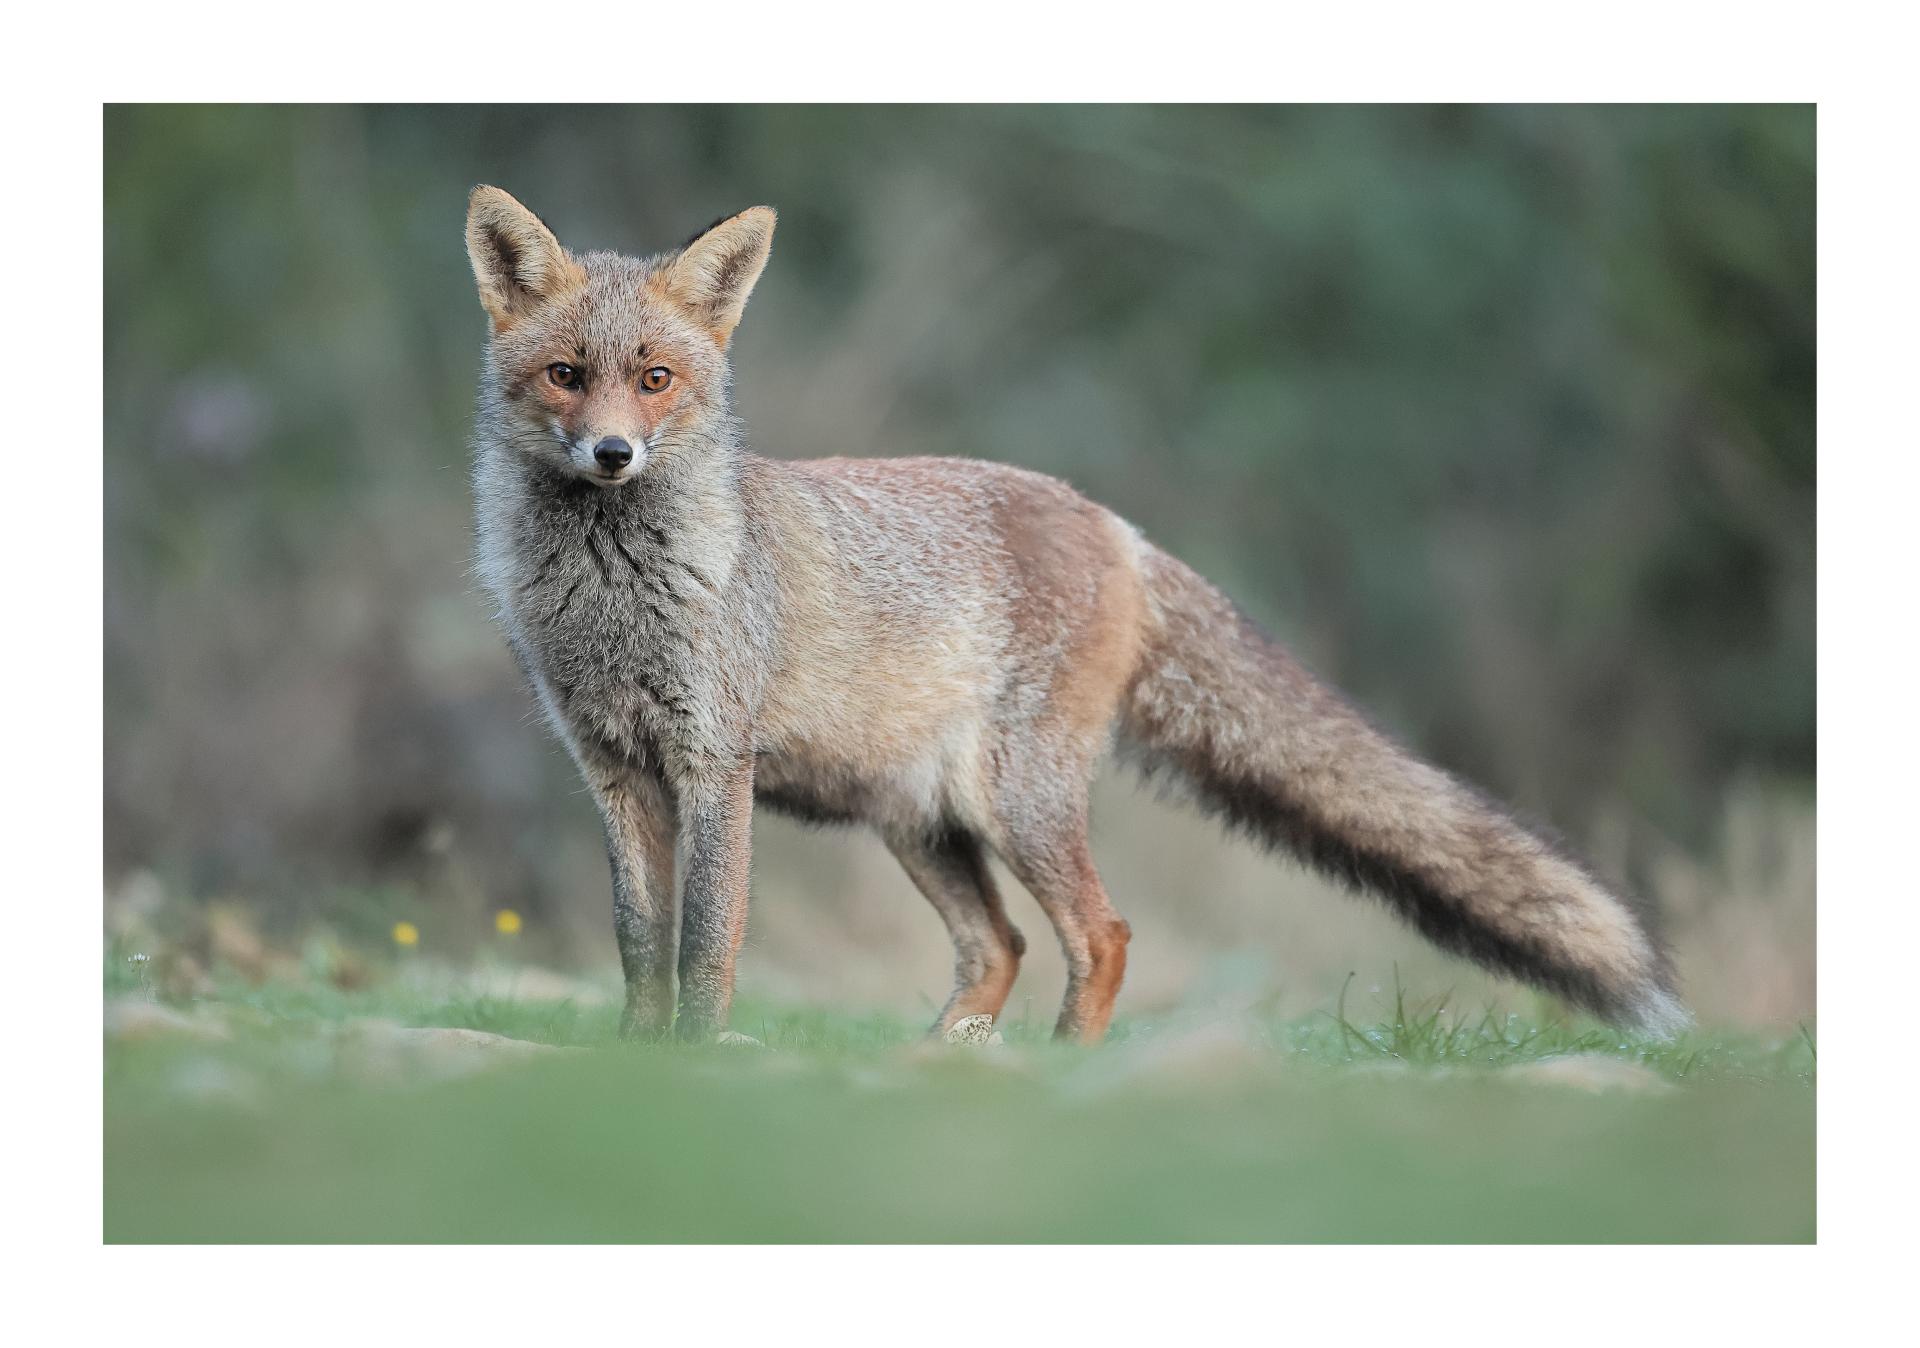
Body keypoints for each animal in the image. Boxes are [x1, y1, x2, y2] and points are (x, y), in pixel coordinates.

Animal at [464, 185, 1688, 1045]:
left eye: (656, 380)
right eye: (567, 375)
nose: (612, 454)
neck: (612, 599)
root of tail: (1112, 521)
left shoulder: (714, 765)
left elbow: (706, 943)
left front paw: (695, 1063)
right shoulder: (614, 769)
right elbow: (639, 943)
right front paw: (633, 1065)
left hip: (1019, 801)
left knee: (1100, 935)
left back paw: (1063, 1070)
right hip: (922, 819)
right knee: (999, 946)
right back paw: (939, 1059)